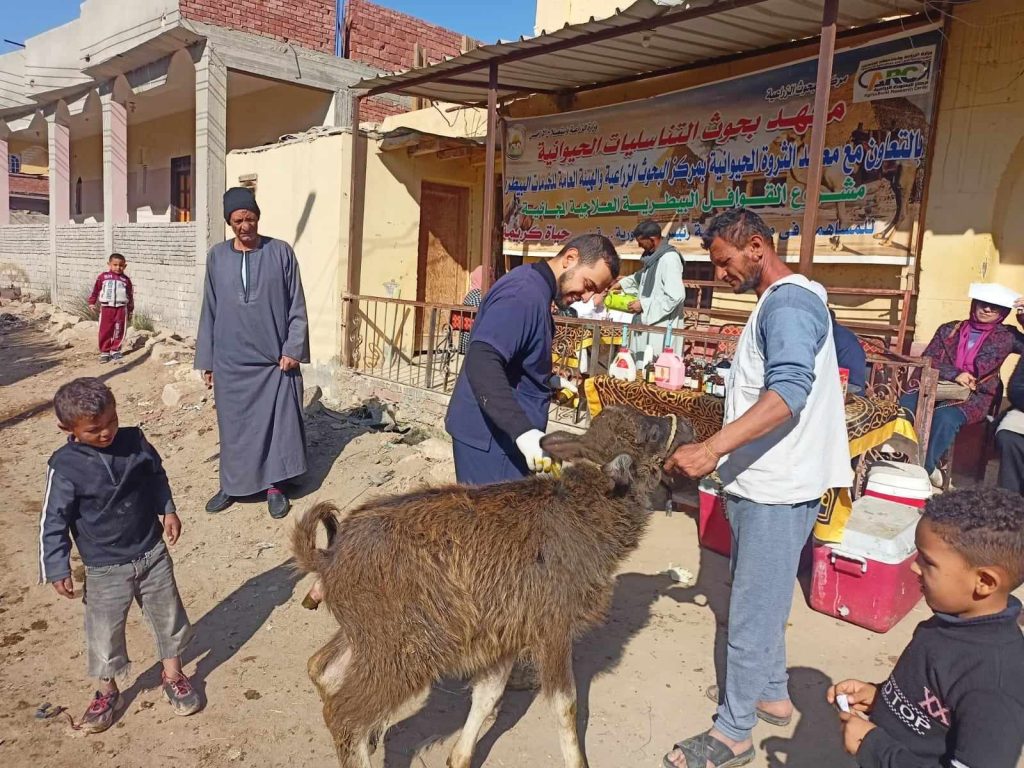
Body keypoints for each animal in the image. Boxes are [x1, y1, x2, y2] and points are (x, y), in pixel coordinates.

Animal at [290, 405, 696, 765]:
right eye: (651, 433)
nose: (689, 424)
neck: (582, 515)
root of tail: (329, 556)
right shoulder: (552, 628)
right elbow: (565, 706)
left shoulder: (503, 633)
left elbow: (487, 695)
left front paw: (459, 757)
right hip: (405, 650)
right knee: (345, 715)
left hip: (369, 637)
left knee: (320, 668)